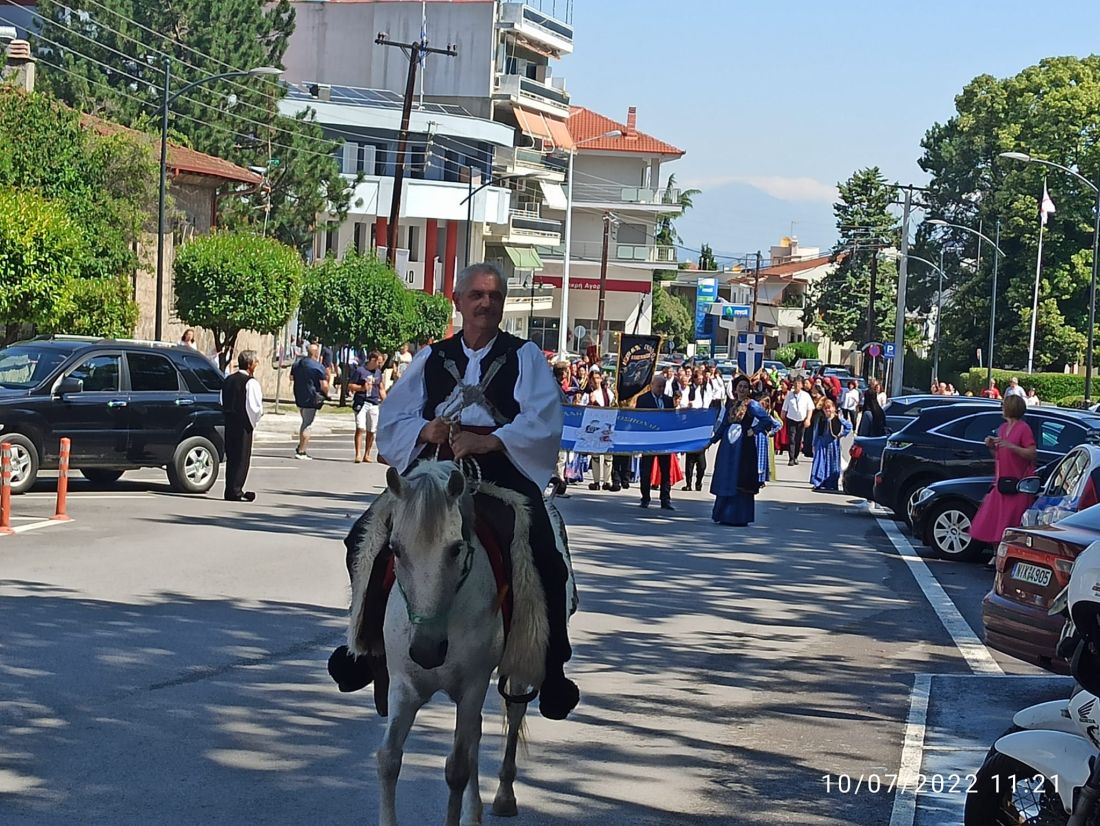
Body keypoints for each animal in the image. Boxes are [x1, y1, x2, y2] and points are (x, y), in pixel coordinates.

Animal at [367, 461, 547, 826]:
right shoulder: (404, 686)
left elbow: (457, 769)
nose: (426, 650)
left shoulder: (471, 686)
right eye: (394, 549)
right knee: (475, 734)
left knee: (514, 713)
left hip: (518, 662)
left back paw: (503, 796)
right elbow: (389, 758)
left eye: (455, 549)